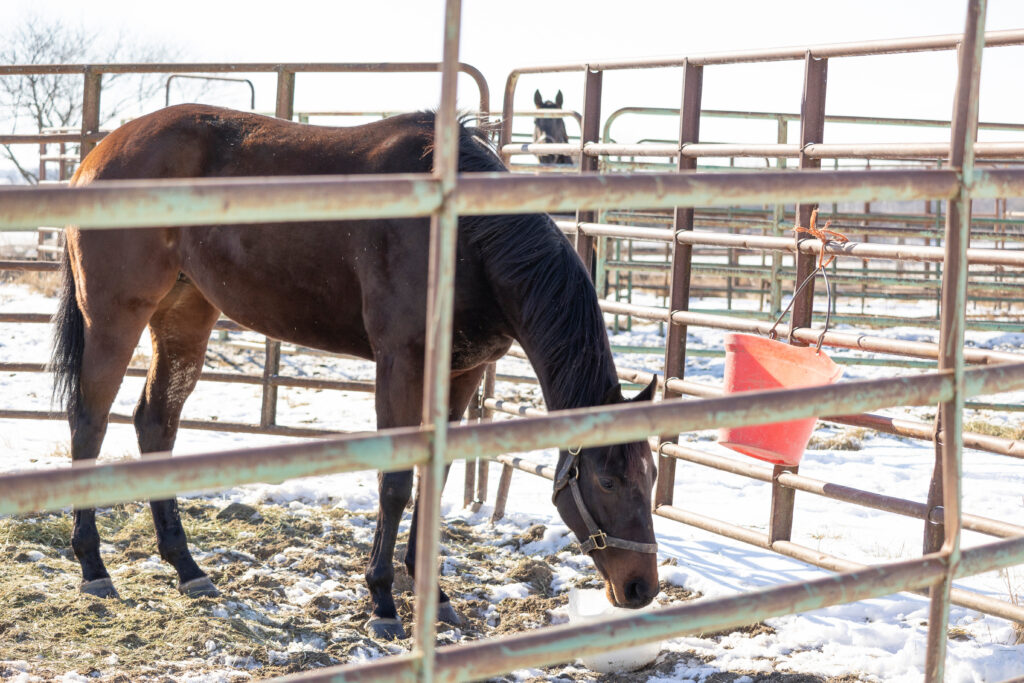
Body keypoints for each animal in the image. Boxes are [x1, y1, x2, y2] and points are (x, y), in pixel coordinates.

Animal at [50, 104, 659, 640]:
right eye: (607, 480)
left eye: (651, 476)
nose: (641, 589)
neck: (466, 239)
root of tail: (98, 153)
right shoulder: (400, 363)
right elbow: (395, 484)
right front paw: (383, 603)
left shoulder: (462, 373)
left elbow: (434, 479)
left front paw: (434, 597)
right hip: (114, 317)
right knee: (88, 422)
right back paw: (93, 569)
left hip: (185, 315)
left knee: (155, 423)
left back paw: (188, 567)